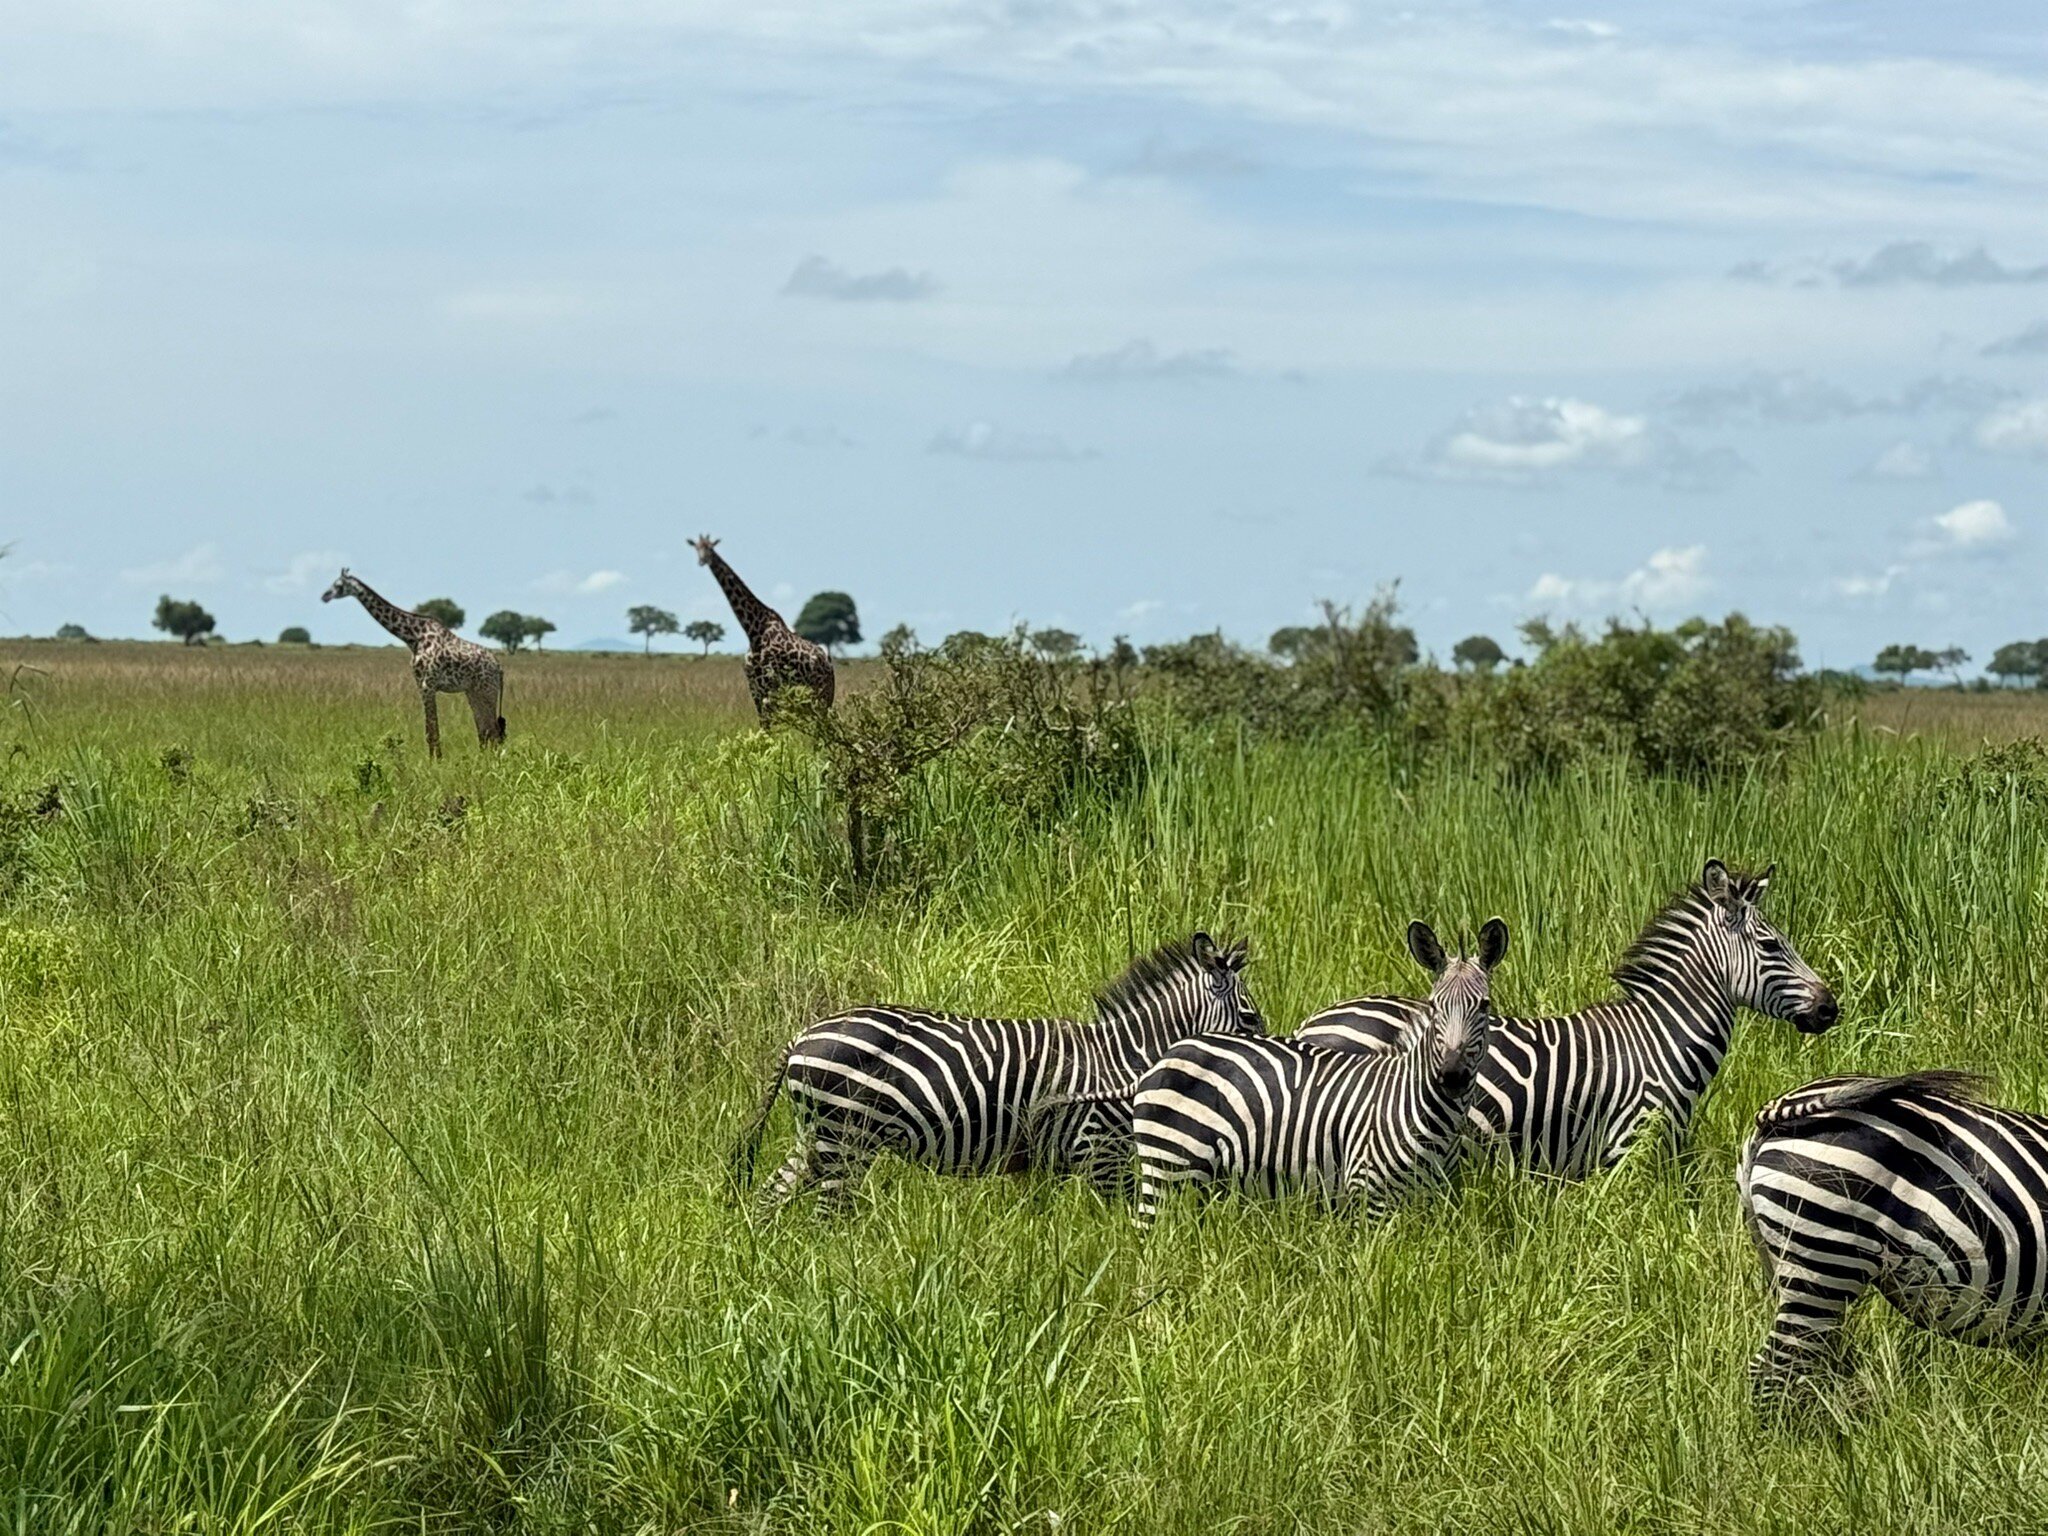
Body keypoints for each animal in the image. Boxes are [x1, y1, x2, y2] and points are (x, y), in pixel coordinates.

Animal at [321, 569, 505, 757]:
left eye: (338, 585)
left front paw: (436, 761)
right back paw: (483, 759)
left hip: (487, 690)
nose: (325, 596)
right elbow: (430, 729)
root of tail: (499, 667)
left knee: (494, 731)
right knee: (485, 730)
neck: (413, 637)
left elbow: (432, 730)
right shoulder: (420, 684)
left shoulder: (428, 685)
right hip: (473, 691)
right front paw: (434, 759)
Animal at [692, 535, 836, 722]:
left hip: (821, 694)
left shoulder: (770, 686)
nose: (702, 560)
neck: (753, 630)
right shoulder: (755, 688)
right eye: (696, 548)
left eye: (710, 548)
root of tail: (829, 664)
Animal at [731, 933, 1264, 1214]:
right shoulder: (1099, 1153)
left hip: (816, 1136)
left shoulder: (1053, 1159)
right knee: (826, 1215)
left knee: (769, 1200)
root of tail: (801, 1035)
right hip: (845, 1138)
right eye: (1251, 1018)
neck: (1124, 1057)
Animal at [1124, 918, 1507, 1229]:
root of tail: (1174, 1049)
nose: (1452, 1076)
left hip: (1199, 1181)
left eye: (1484, 1006)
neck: (1415, 1105)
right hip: (1167, 1168)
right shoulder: (1368, 1198)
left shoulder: (1430, 1202)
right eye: (1434, 1006)